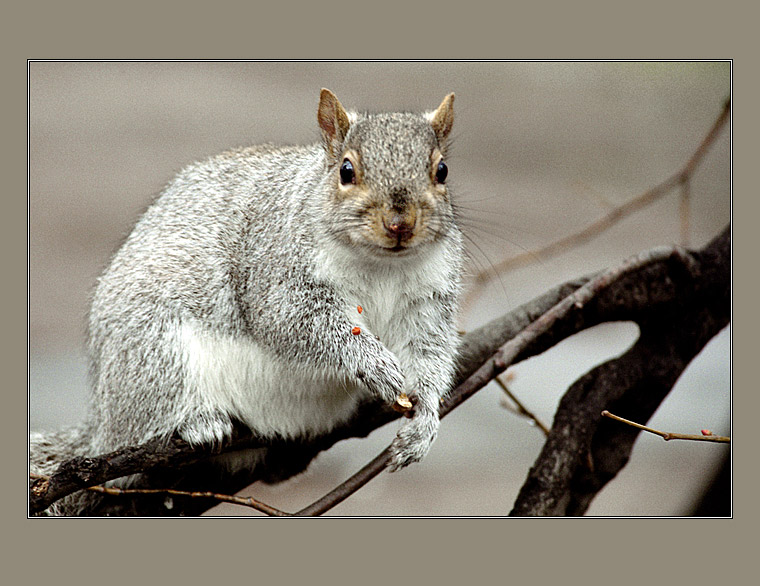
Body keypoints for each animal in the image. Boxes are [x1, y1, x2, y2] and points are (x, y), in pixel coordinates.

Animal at [29, 89, 464, 512]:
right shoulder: (275, 273)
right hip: (153, 354)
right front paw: (373, 364)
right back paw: (197, 421)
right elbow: (297, 324)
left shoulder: (429, 301)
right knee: (145, 422)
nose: (400, 224)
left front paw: (424, 420)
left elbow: (431, 354)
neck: (382, 266)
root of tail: (100, 425)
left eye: (442, 171)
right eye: (346, 171)